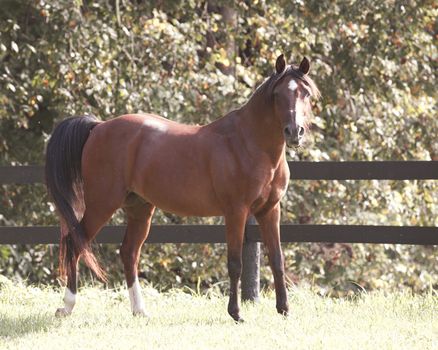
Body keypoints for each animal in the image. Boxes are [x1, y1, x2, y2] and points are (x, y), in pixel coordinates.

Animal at [45, 55, 318, 322]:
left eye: (306, 93)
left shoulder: (269, 210)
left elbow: (277, 260)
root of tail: (99, 126)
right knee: (75, 243)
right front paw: (236, 313)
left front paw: (284, 310)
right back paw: (67, 306)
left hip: (139, 209)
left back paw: (139, 310)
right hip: (102, 204)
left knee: (129, 252)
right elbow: (235, 263)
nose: (294, 132)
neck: (248, 143)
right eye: (277, 94)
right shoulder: (236, 212)